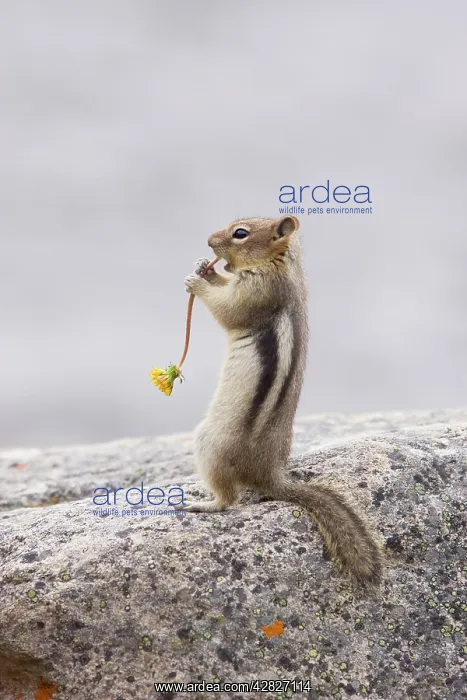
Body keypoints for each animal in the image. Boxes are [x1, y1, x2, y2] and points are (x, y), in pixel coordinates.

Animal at [180, 215, 383, 584]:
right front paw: (205, 267)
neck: (280, 264)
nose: (208, 242)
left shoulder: (258, 293)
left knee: (229, 499)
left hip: (209, 443)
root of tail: (269, 474)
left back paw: (204, 502)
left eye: (240, 233)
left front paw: (197, 282)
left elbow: (227, 310)